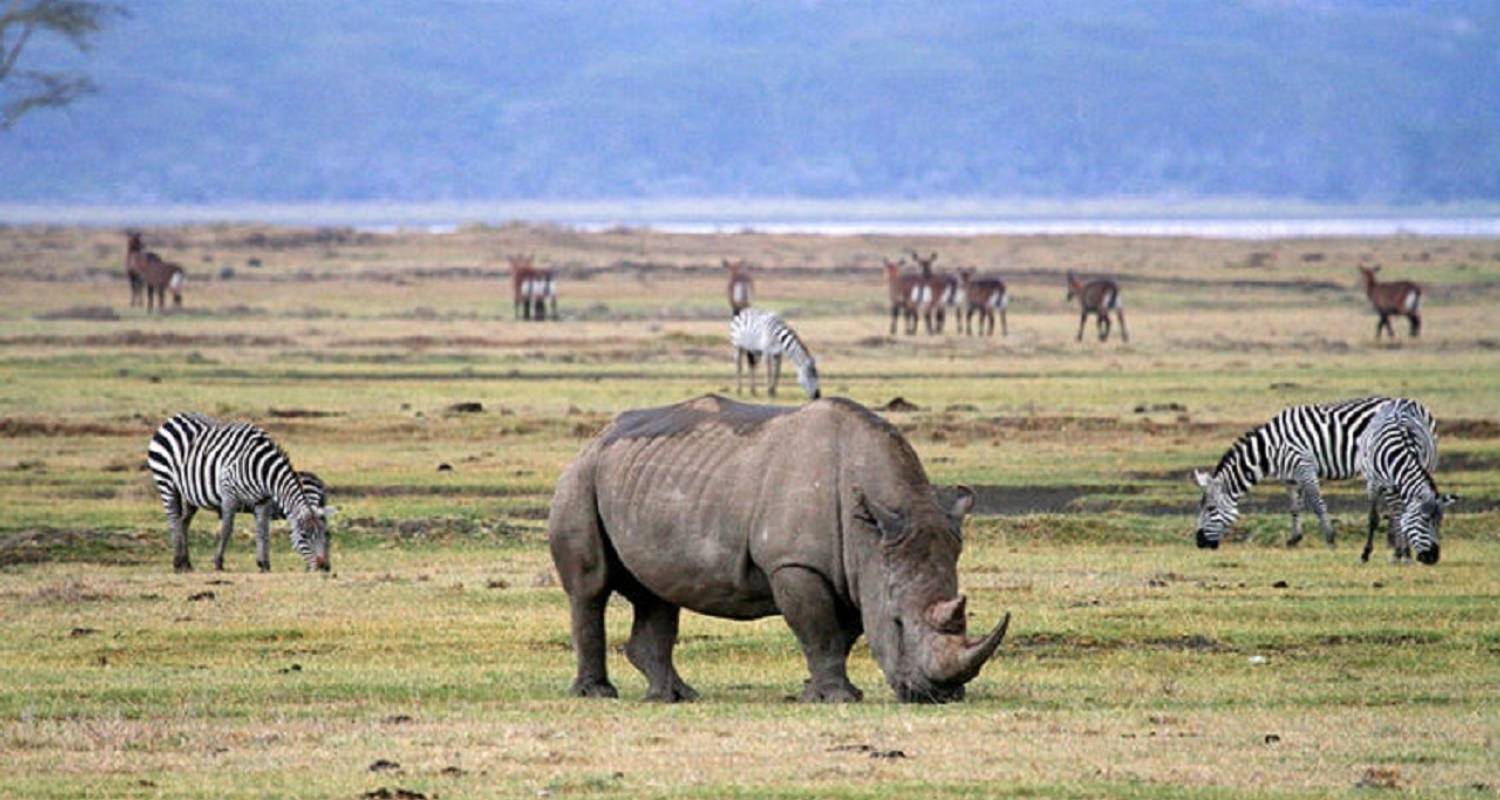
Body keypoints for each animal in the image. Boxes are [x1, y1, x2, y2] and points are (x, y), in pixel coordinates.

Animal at [146, 411, 331, 573]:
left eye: (326, 535)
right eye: (304, 536)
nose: (324, 568)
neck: (262, 471)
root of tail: (173, 418)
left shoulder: (263, 501)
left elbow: (262, 532)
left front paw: (264, 564)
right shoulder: (229, 496)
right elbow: (226, 530)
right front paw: (218, 563)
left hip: (191, 494)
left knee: (183, 522)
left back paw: (186, 563)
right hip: (166, 481)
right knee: (173, 520)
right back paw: (178, 563)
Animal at [1188, 396, 1434, 552]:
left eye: (1210, 509)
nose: (1199, 542)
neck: (1270, 449)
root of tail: (1414, 404)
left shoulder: (1305, 467)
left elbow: (1316, 504)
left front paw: (1331, 539)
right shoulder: (1289, 476)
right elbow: (1294, 507)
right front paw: (1294, 539)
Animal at [1356, 396, 1458, 561]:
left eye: (1439, 522)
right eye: (1424, 520)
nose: (1432, 558)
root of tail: (1403, 399)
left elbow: (1402, 515)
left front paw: (1404, 552)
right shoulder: (1379, 483)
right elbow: (1375, 518)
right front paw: (1366, 553)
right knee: (1392, 512)